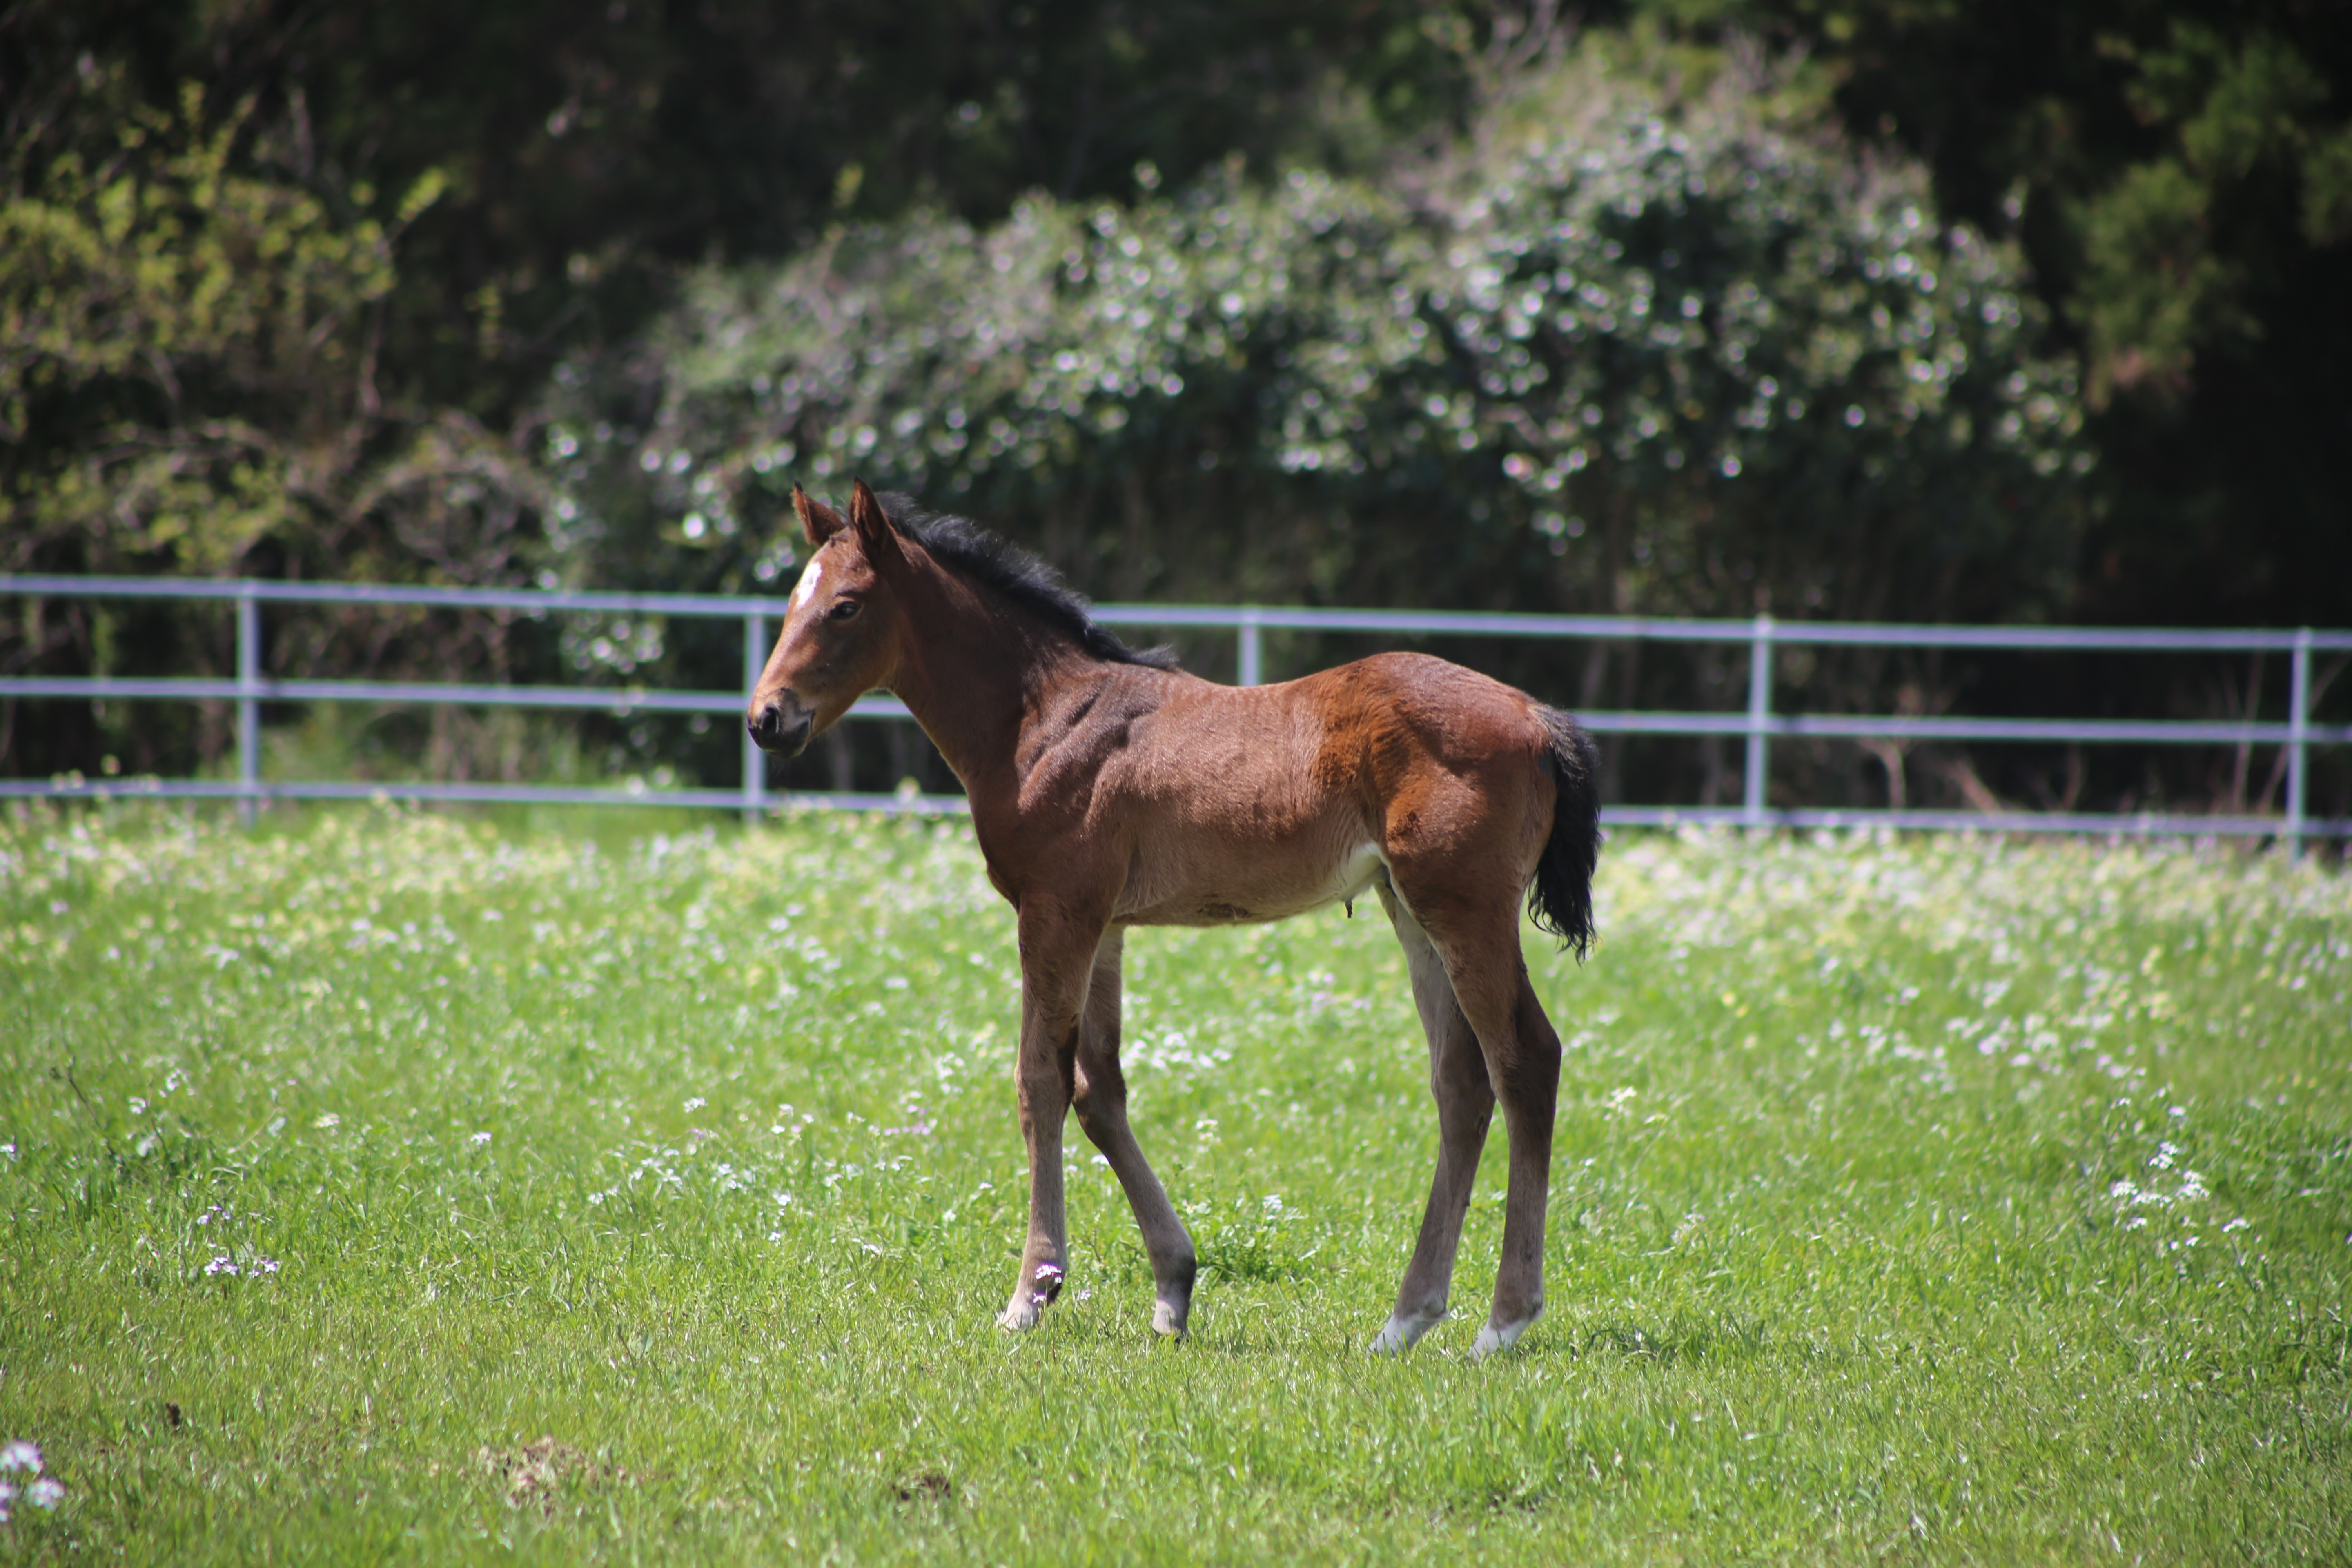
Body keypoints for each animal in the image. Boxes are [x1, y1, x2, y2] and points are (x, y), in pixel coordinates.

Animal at [753, 484, 1599, 1354]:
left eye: (846, 607)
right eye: (790, 605)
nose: (767, 719)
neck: (1043, 718)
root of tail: (1539, 718)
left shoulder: (1054, 912)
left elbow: (1039, 1081)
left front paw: (1031, 1295)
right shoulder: (1105, 925)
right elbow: (1099, 1090)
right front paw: (1172, 1290)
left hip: (1464, 910)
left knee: (1525, 1060)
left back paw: (1503, 1322)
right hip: (1412, 911)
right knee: (1461, 1080)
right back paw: (1404, 1321)